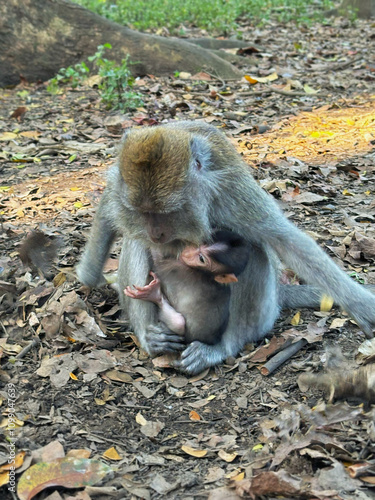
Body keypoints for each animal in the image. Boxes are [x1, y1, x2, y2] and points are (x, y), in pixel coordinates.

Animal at [77, 119, 375, 374]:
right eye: (142, 212)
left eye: (167, 213)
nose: (156, 232)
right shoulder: (119, 184)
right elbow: (108, 208)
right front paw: (90, 276)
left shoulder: (232, 193)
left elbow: (285, 241)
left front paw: (361, 306)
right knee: (136, 242)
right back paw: (151, 337)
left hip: (264, 314)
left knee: (255, 250)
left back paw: (223, 347)